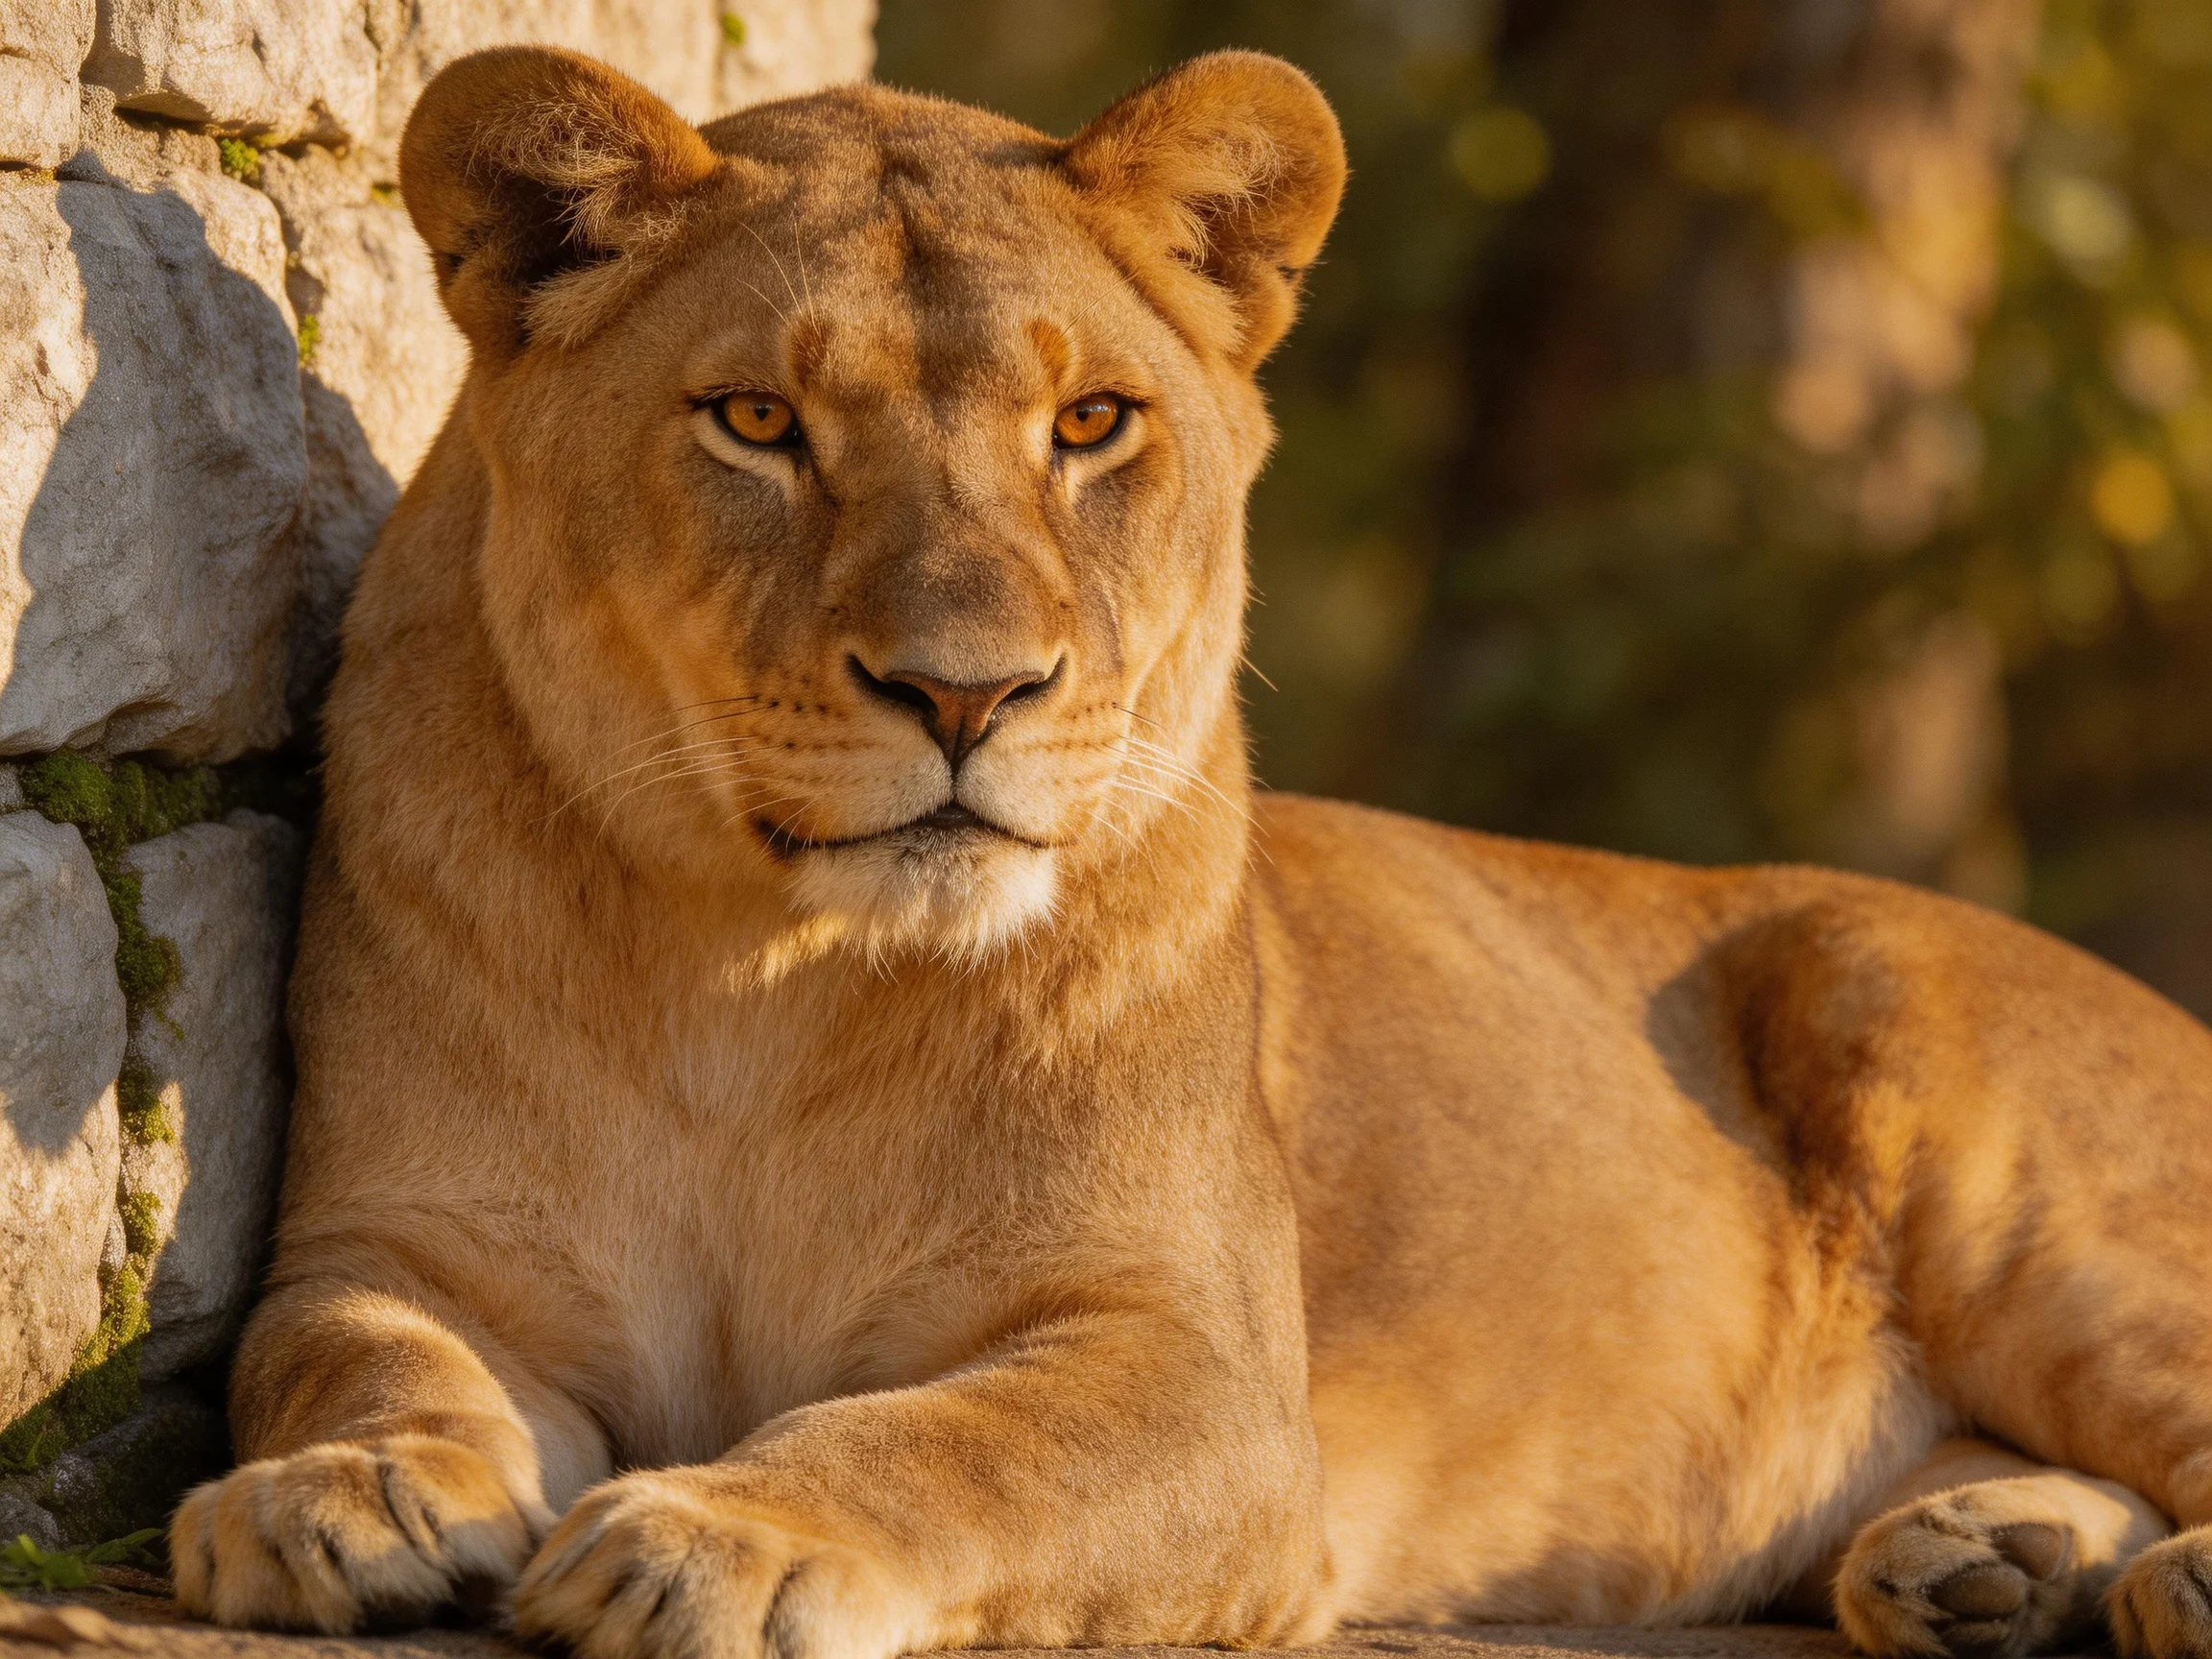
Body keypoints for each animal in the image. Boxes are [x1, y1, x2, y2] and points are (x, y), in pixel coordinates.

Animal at [166, 43, 2212, 1659]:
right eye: (756, 419)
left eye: (1090, 422)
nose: (965, 691)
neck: (763, 978)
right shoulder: (396, 1242)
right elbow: (348, 1349)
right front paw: (341, 1489)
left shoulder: (1207, 1377)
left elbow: (943, 1439)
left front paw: (716, 1530)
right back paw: (1977, 1556)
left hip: (1965, 1117)